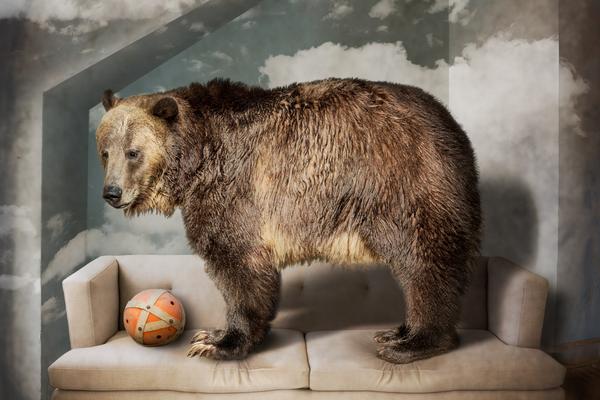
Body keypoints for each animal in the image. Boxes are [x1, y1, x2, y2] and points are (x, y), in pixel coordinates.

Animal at [98, 77, 482, 362]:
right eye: (105, 151)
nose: (111, 192)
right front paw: (218, 335)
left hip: (402, 183)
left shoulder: (233, 187)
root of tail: (451, 123)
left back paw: (413, 342)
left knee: (424, 260)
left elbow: (237, 261)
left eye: (133, 152)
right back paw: (397, 331)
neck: (197, 160)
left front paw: (217, 341)